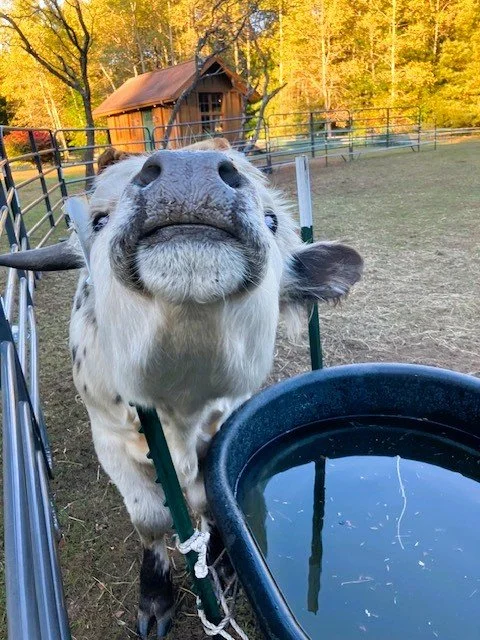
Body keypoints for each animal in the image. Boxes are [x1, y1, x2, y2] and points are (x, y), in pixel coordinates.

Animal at [0, 138, 363, 637]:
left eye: (273, 220)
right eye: (99, 219)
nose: (188, 174)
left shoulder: (226, 427)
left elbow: (213, 499)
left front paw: (223, 567)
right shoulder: (108, 438)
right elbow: (150, 518)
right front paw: (155, 595)